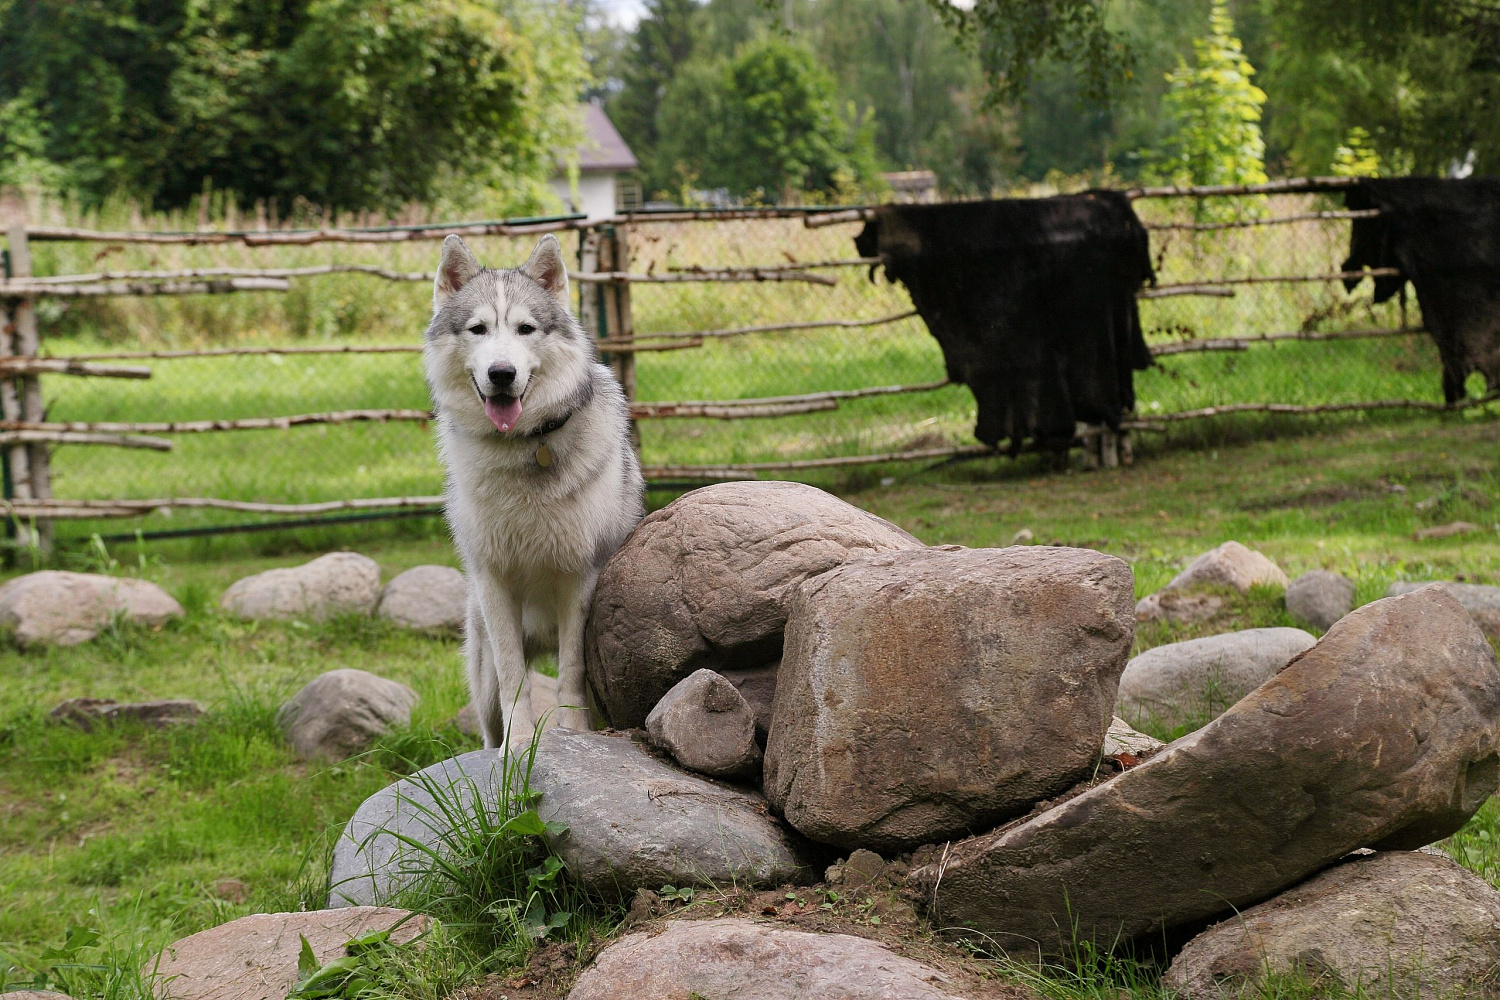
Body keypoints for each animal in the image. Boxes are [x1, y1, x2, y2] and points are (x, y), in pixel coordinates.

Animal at [429, 236, 651, 749]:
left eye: (525, 328)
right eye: (479, 329)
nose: (502, 373)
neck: (525, 447)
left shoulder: (580, 577)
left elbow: (571, 669)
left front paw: (574, 737)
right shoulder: (493, 581)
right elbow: (515, 676)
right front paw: (519, 744)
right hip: (481, 677)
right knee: (488, 723)